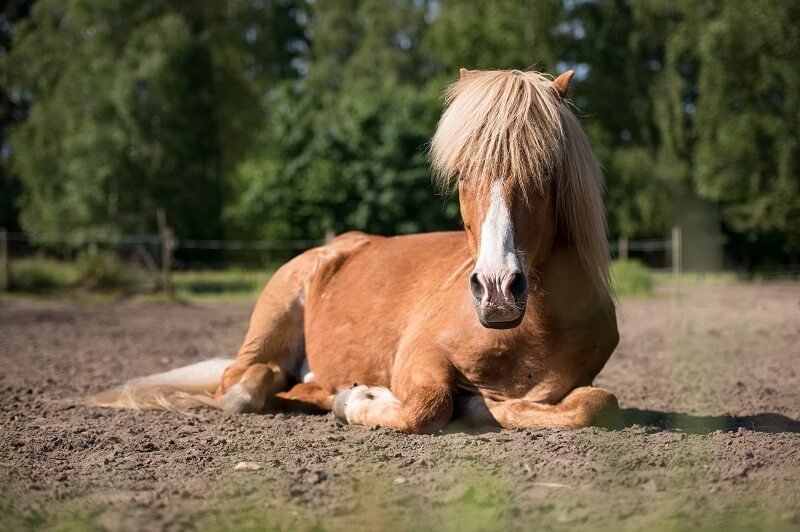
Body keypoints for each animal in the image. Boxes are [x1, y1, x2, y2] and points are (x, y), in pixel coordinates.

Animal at [92, 67, 620, 432]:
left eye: (546, 170)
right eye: (462, 174)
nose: (496, 292)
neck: (532, 331)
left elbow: (597, 404)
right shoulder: (419, 357)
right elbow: (428, 407)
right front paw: (360, 402)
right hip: (272, 316)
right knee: (240, 383)